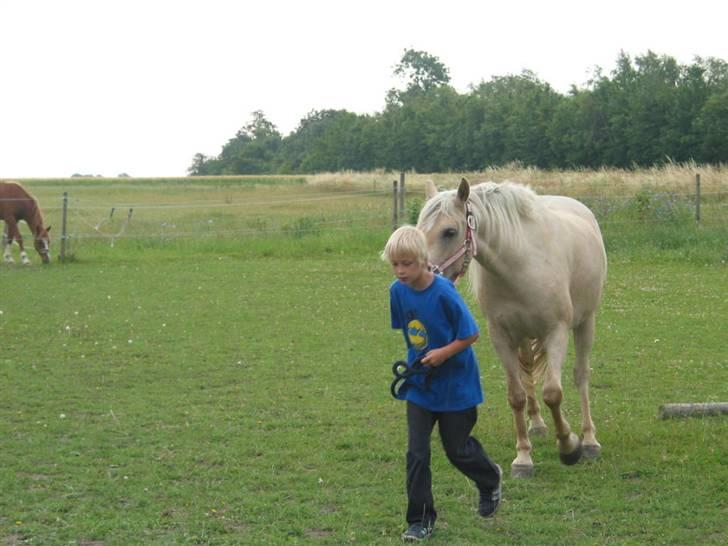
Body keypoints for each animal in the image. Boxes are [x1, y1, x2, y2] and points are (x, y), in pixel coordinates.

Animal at [417, 178, 607, 478]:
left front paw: (569, 447)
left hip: (585, 323)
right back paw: (538, 425)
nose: (424, 275)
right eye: (419, 229)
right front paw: (523, 458)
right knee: (528, 373)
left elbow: (553, 393)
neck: (521, 263)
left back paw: (589, 441)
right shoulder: (502, 337)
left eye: (450, 232)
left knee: (580, 376)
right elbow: (516, 396)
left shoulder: (556, 332)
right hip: (525, 337)